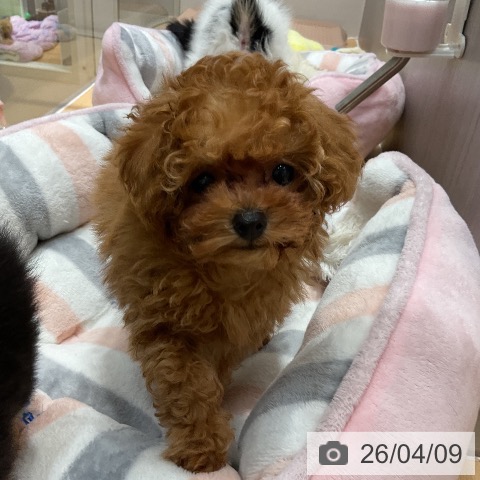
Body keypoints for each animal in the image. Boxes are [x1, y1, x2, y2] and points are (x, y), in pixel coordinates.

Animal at [93, 52, 363, 472]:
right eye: (202, 180)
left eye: (282, 172)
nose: (250, 220)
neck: (224, 271)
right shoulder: (162, 323)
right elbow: (185, 380)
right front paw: (200, 445)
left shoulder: (243, 321)